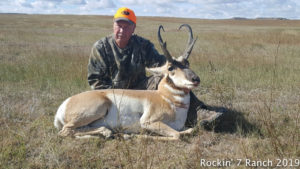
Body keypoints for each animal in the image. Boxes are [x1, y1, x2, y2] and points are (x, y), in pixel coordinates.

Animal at [54, 23, 199, 140]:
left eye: (187, 63)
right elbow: (177, 135)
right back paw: (110, 133)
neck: (165, 97)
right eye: (170, 68)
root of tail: (65, 104)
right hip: (98, 108)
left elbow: (191, 130)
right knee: (65, 131)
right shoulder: (148, 122)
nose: (195, 79)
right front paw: (134, 135)